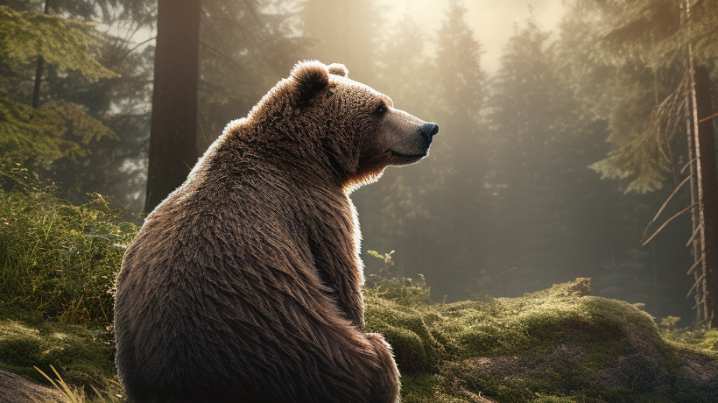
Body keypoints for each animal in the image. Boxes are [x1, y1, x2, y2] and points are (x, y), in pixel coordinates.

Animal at [113, 60, 438, 403]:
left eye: (386, 102)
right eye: (379, 108)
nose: (428, 129)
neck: (308, 155)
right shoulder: (317, 211)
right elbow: (341, 278)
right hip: (310, 359)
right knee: (377, 355)